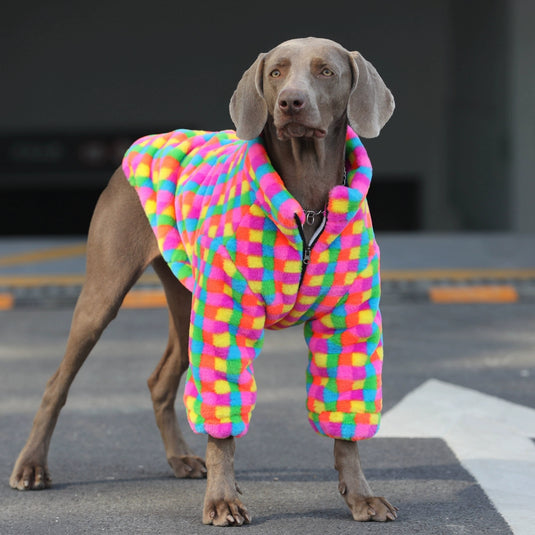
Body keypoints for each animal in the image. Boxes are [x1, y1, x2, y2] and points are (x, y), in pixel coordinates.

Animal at [10, 37, 398, 528]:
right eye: (276, 72)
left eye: (326, 71)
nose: (291, 103)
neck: (306, 201)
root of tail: (143, 143)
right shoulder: (224, 317)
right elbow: (222, 425)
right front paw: (223, 500)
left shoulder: (349, 321)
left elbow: (345, 423)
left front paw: (361, 496)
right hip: (105, 297)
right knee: (56, 383)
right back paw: (31, 466)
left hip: (186, 301)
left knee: (159, 381)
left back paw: (179, 458)